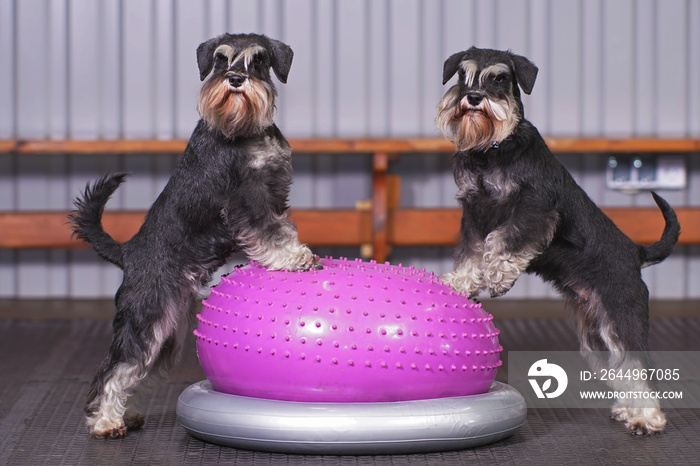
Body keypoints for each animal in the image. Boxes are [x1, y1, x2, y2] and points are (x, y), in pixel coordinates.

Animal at [69, 32, 318, 436]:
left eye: (259, 60)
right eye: (220, 59)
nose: (235, 80)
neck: (243, 130)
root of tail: (128, 252)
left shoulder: (274, 191)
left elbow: (281, 224)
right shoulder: (245, 198)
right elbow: (269, 230)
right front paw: (295, 257)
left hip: (167, 332)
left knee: (138, 370)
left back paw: (127, 414)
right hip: (147, 316)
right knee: (117, 367)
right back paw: (106, 422)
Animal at [438, 45, 680, 436]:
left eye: (500, 78)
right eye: (463, 75)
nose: (473, 98)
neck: (494, 150)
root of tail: (636, 253)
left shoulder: (535, 208)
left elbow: (503, 240)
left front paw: (498, 276)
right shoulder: (473, 213)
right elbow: (472, 251)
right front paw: (459, 282)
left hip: (622, 317)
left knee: (638, 364)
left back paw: (647, 418)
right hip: (597, 333)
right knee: (620, 368)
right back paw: (628, 410)